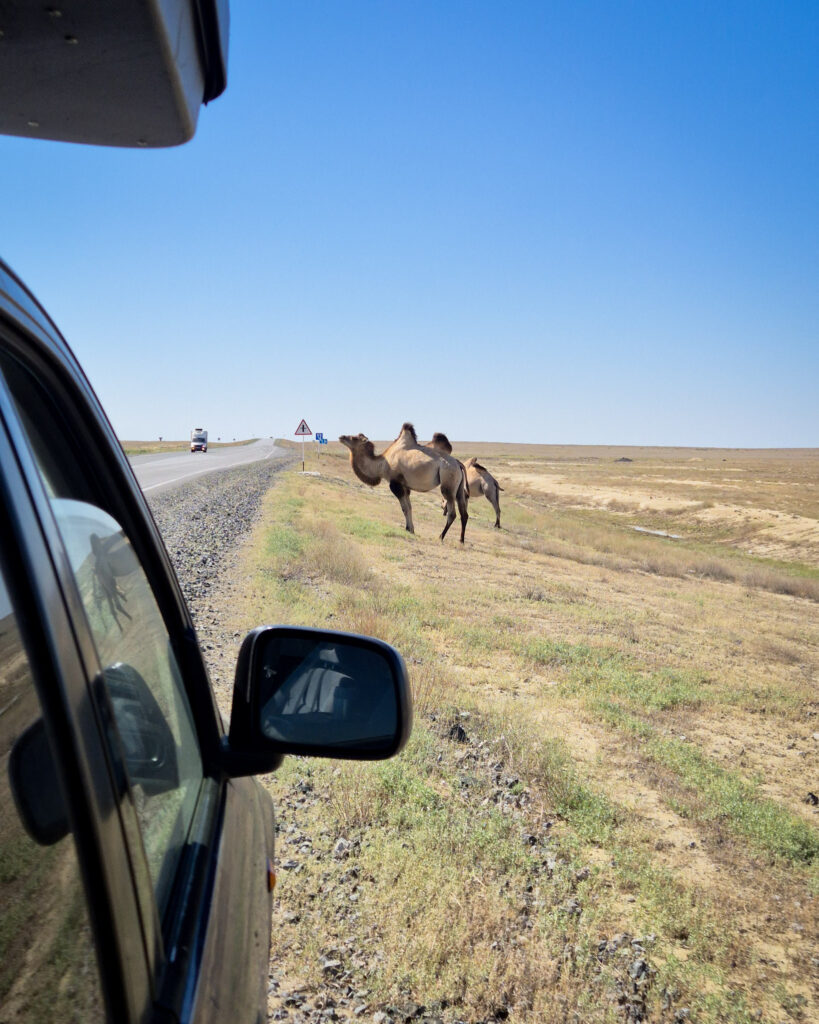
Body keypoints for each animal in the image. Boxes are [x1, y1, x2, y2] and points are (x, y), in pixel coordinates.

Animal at [338, 423, 469, 543]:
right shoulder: (405, 486)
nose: (341, 437)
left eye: (354, 438)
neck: (382, 464)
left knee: (452, 513)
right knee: (464, 513)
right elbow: (409, 507)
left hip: (448, 482)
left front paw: (409, 529)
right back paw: (461, 540)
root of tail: (458, 463)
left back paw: (441, 537)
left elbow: (404, 508)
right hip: (458, 488)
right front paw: (410, 529)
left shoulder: (395, 484)